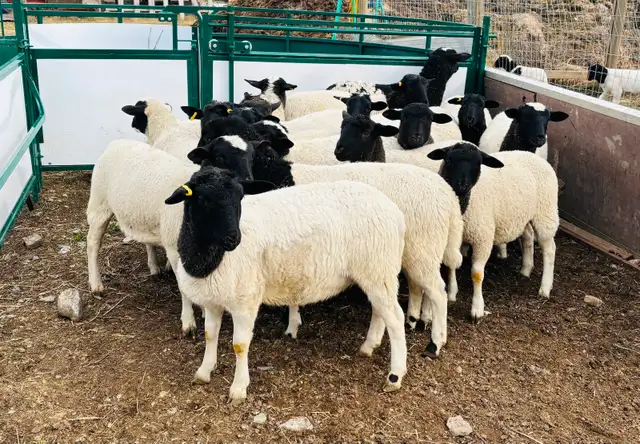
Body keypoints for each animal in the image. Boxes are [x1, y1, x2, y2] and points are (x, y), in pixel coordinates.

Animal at [86, 136, 259, 336]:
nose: (233, 238)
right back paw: (96, 285)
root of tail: (116, 142)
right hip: (99, 204)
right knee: (93, 243)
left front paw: (204, 310)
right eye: (220, 156)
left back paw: (154, 267)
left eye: (252, 157)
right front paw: (189, 322)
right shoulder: (175, 249)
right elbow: (183, 287)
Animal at [168, 167, 408, 404]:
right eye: (203, 199)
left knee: (396, 319)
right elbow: (210, 334)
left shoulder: (245, 299)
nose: (233, 239)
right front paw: (204, 371)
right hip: (377, 272)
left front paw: (238, 388)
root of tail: (396, 213)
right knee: (380, 310)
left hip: (378, 268)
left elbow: (240, 345)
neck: (208, 259)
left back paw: (394, 376)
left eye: (240, 197)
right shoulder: (213, 299)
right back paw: (369, 346)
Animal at [427, 144, 559, 322]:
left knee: (549, 248)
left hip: (545, 213)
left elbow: (476, 273)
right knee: (528, 236)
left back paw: (545, 288)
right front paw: (452, 293)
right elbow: (451, 264)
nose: (462, 185)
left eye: (478, 163)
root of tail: (534, 156)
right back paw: (525, 269)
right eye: (449, 159)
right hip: (524, 215)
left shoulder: (483, 237)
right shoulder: (454, 237)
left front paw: (477, 309)